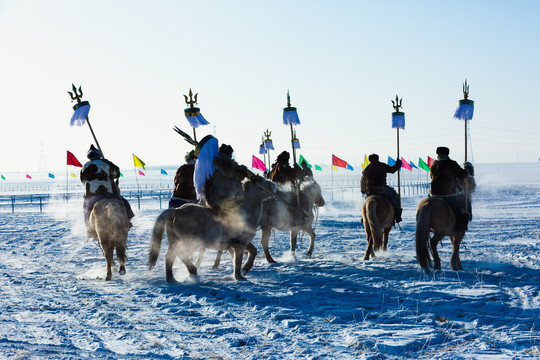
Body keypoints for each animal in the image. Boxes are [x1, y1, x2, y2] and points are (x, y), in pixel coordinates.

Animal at [148, 176, 276, 282]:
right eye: (263, 181)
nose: (275, 186)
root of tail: (177, 210)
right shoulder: (240, 244)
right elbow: (238, 260)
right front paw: (239, 276)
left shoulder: (239, 243)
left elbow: (253, 251)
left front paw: (246, 269)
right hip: (190, 242)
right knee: (180, 254)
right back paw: (192, 271)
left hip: (176, 241)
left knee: (169, 256)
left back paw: (172, 279)